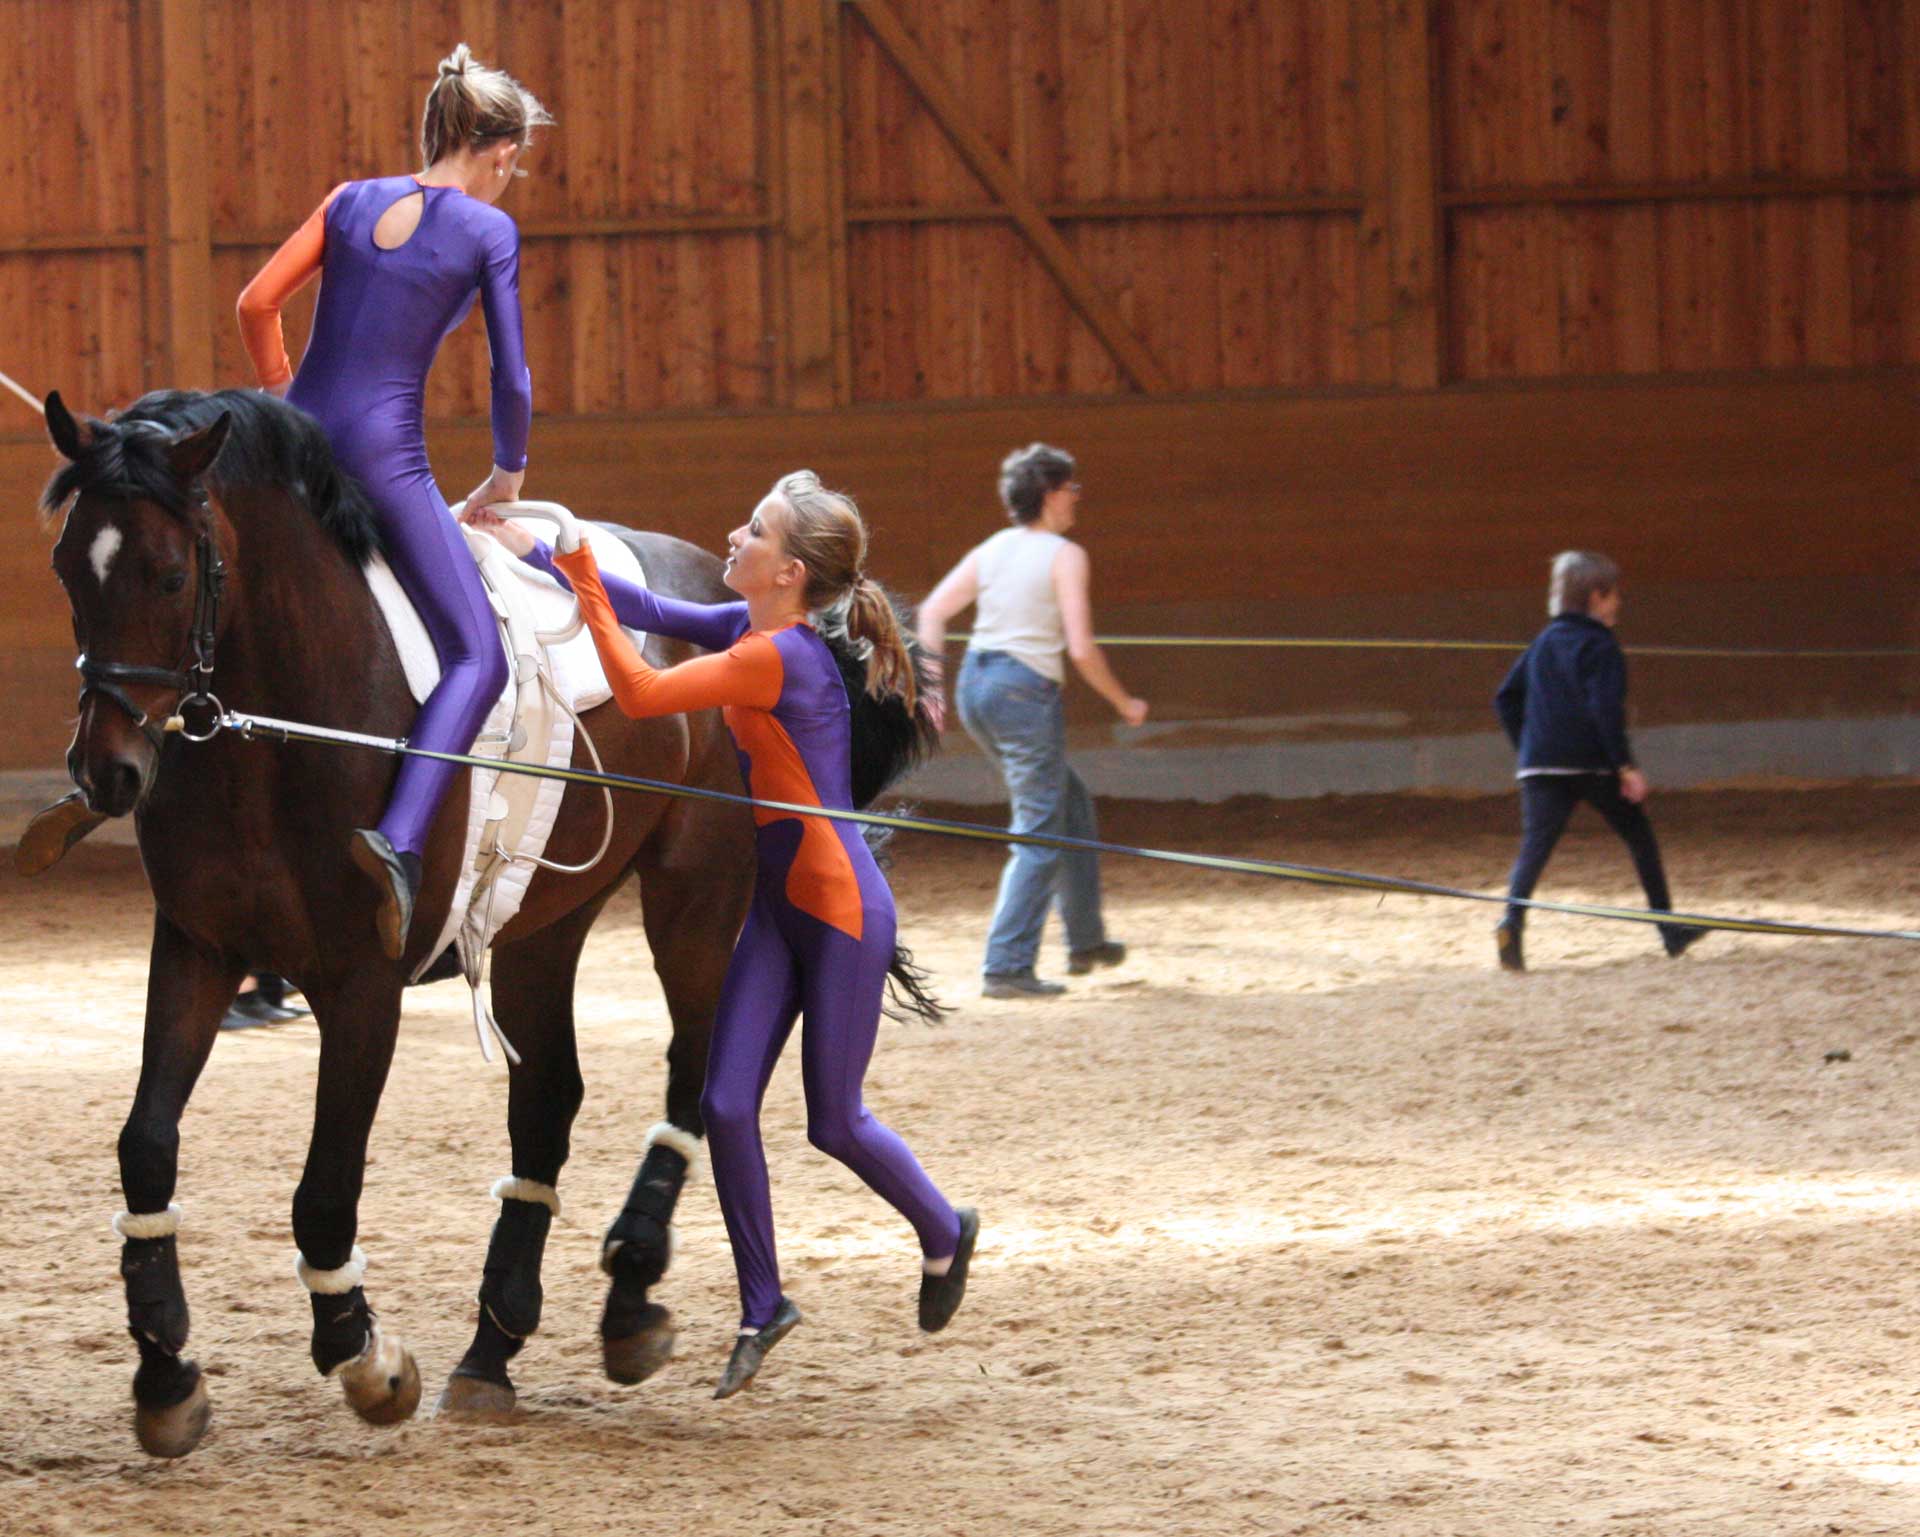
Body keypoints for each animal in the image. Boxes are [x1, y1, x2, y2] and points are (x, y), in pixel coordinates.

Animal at [41, 383, 933, 1450]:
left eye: (171, 575)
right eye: (67, 566)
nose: (106, 769)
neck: (281, 729)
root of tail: (732, 605)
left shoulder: (362, 982)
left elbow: (324, 1187)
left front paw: (365, 1356)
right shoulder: (197, 949)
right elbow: (145, 1145)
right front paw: (167, 1372)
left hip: (696, 894)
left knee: (697, 1071)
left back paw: (629, 1285)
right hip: (544, 922)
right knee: (549, 1097)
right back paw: (496, 1341)